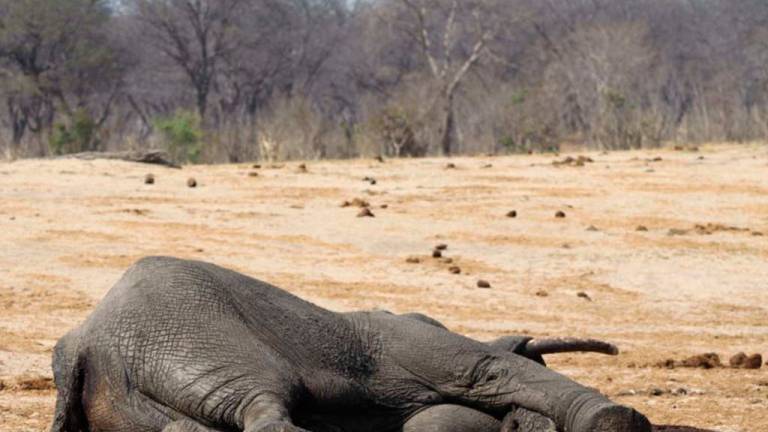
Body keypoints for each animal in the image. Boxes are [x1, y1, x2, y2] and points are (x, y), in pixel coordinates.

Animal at [49, 256, 648, 432]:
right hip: (189, 326)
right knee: (266, 400)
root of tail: (82, 340)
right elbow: (486, 369)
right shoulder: (402, 343)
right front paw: (615, 421)